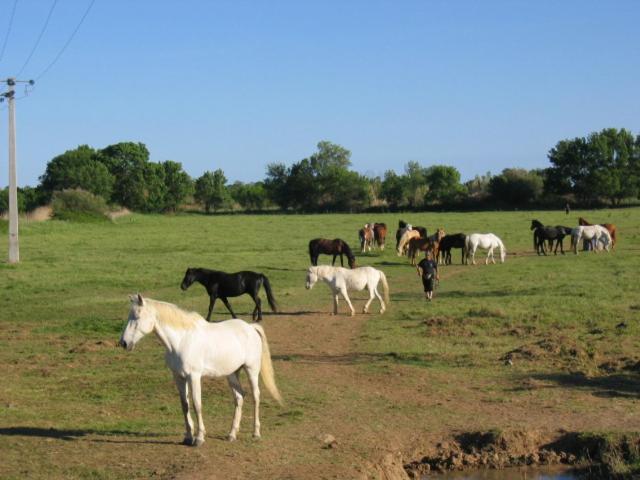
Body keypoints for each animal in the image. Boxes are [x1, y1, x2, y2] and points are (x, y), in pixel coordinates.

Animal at [118, 294, 282, 448]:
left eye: (137, 317)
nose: (123, 343)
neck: (181, 341)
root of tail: (250, 327)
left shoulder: (194, 376)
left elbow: (197, 404)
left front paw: (199, 438)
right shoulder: (178, 377)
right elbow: (185, 405)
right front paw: (188, 437)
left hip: (251, 370)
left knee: (255, 397)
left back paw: (256, 433)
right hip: (232, 374)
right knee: (239, 397)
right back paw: (232, 434)